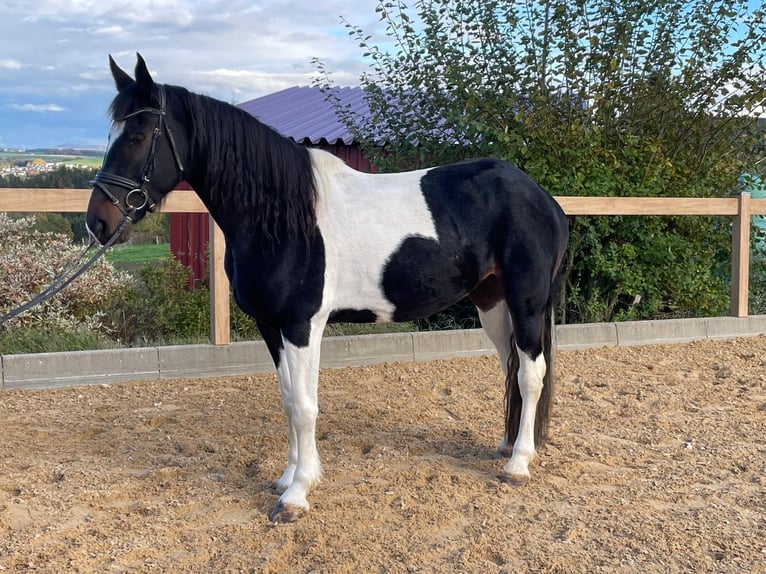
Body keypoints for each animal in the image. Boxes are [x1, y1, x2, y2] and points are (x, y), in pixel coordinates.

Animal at [86, 54, 569, 523]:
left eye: (138, 135)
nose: (98, 223)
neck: (279, 216)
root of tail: (543, 199)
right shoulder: (271, 327)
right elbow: (288, 401)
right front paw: (288, 477)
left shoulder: (302, 325)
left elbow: (304, 406)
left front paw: (297, 496)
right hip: (492, 302)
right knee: (510, 368)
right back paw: (506, 445)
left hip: (526, 303)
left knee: (530, 375)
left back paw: (518, 464)